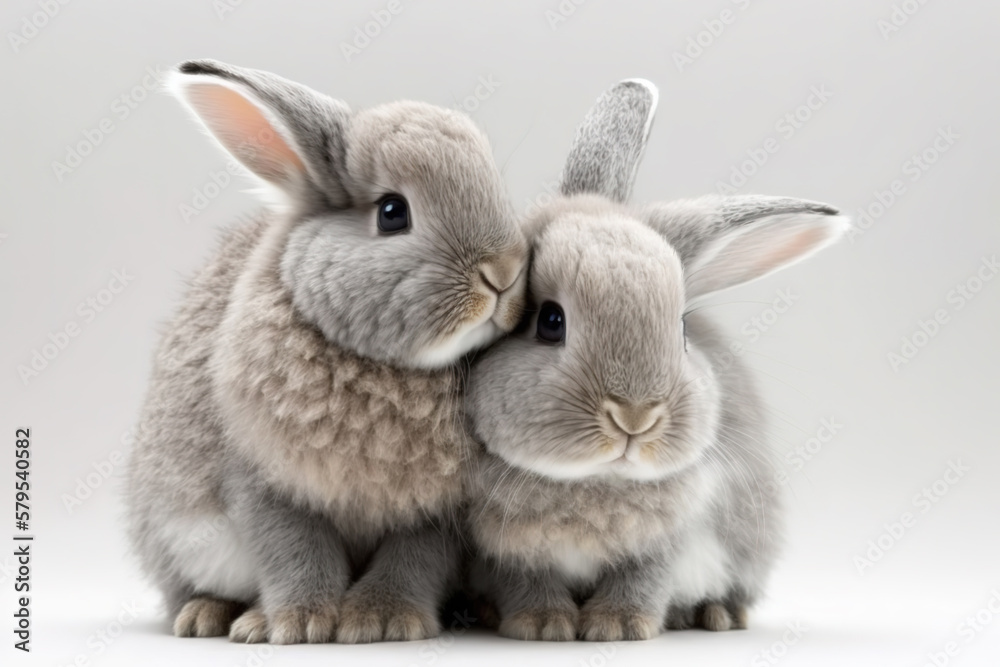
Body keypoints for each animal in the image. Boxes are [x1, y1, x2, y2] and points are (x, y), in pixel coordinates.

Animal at [125, 59, 528, 644]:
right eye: (392, 212)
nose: (504, 272)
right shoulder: (263, 481)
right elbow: (294, 549)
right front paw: (299, 623)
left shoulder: (436, 513)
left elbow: (414, 559)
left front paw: (382, 621)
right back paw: (209, 617)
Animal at [463, 78, 849, 641]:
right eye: (550, 321)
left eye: (682, 329)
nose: (635, 416)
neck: (595, 480)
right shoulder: (508, 551)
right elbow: (527, 582)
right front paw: (542, 625)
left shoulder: (668, 541)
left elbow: (642, 579)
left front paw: (617, 627)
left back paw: (715, 615)